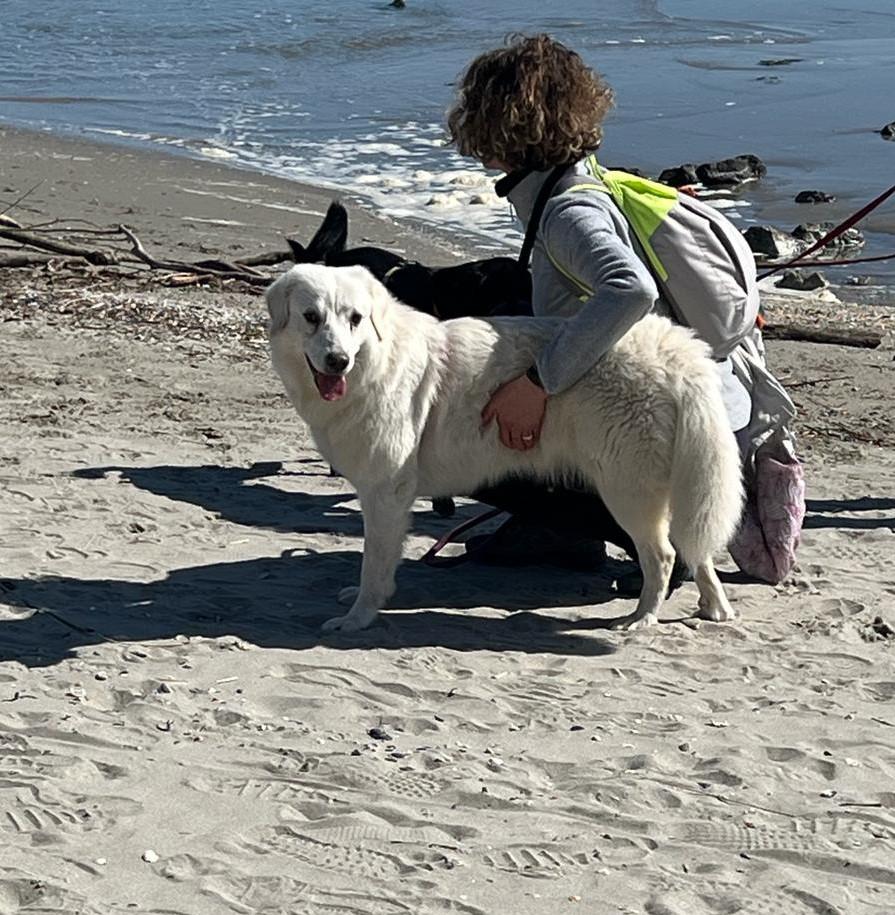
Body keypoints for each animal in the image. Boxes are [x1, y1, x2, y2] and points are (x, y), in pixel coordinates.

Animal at [270, 262, 744, 628]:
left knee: (663, 554)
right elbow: (377, 564)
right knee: (696, 545)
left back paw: (641, 618)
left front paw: (358, 617)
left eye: (354, 318)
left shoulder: (386, 494)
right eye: (311, 317)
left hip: (626, 489)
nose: (337, 361)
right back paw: (713, 606)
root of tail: (676, 353)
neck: (375, 363)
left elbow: (375, 563)